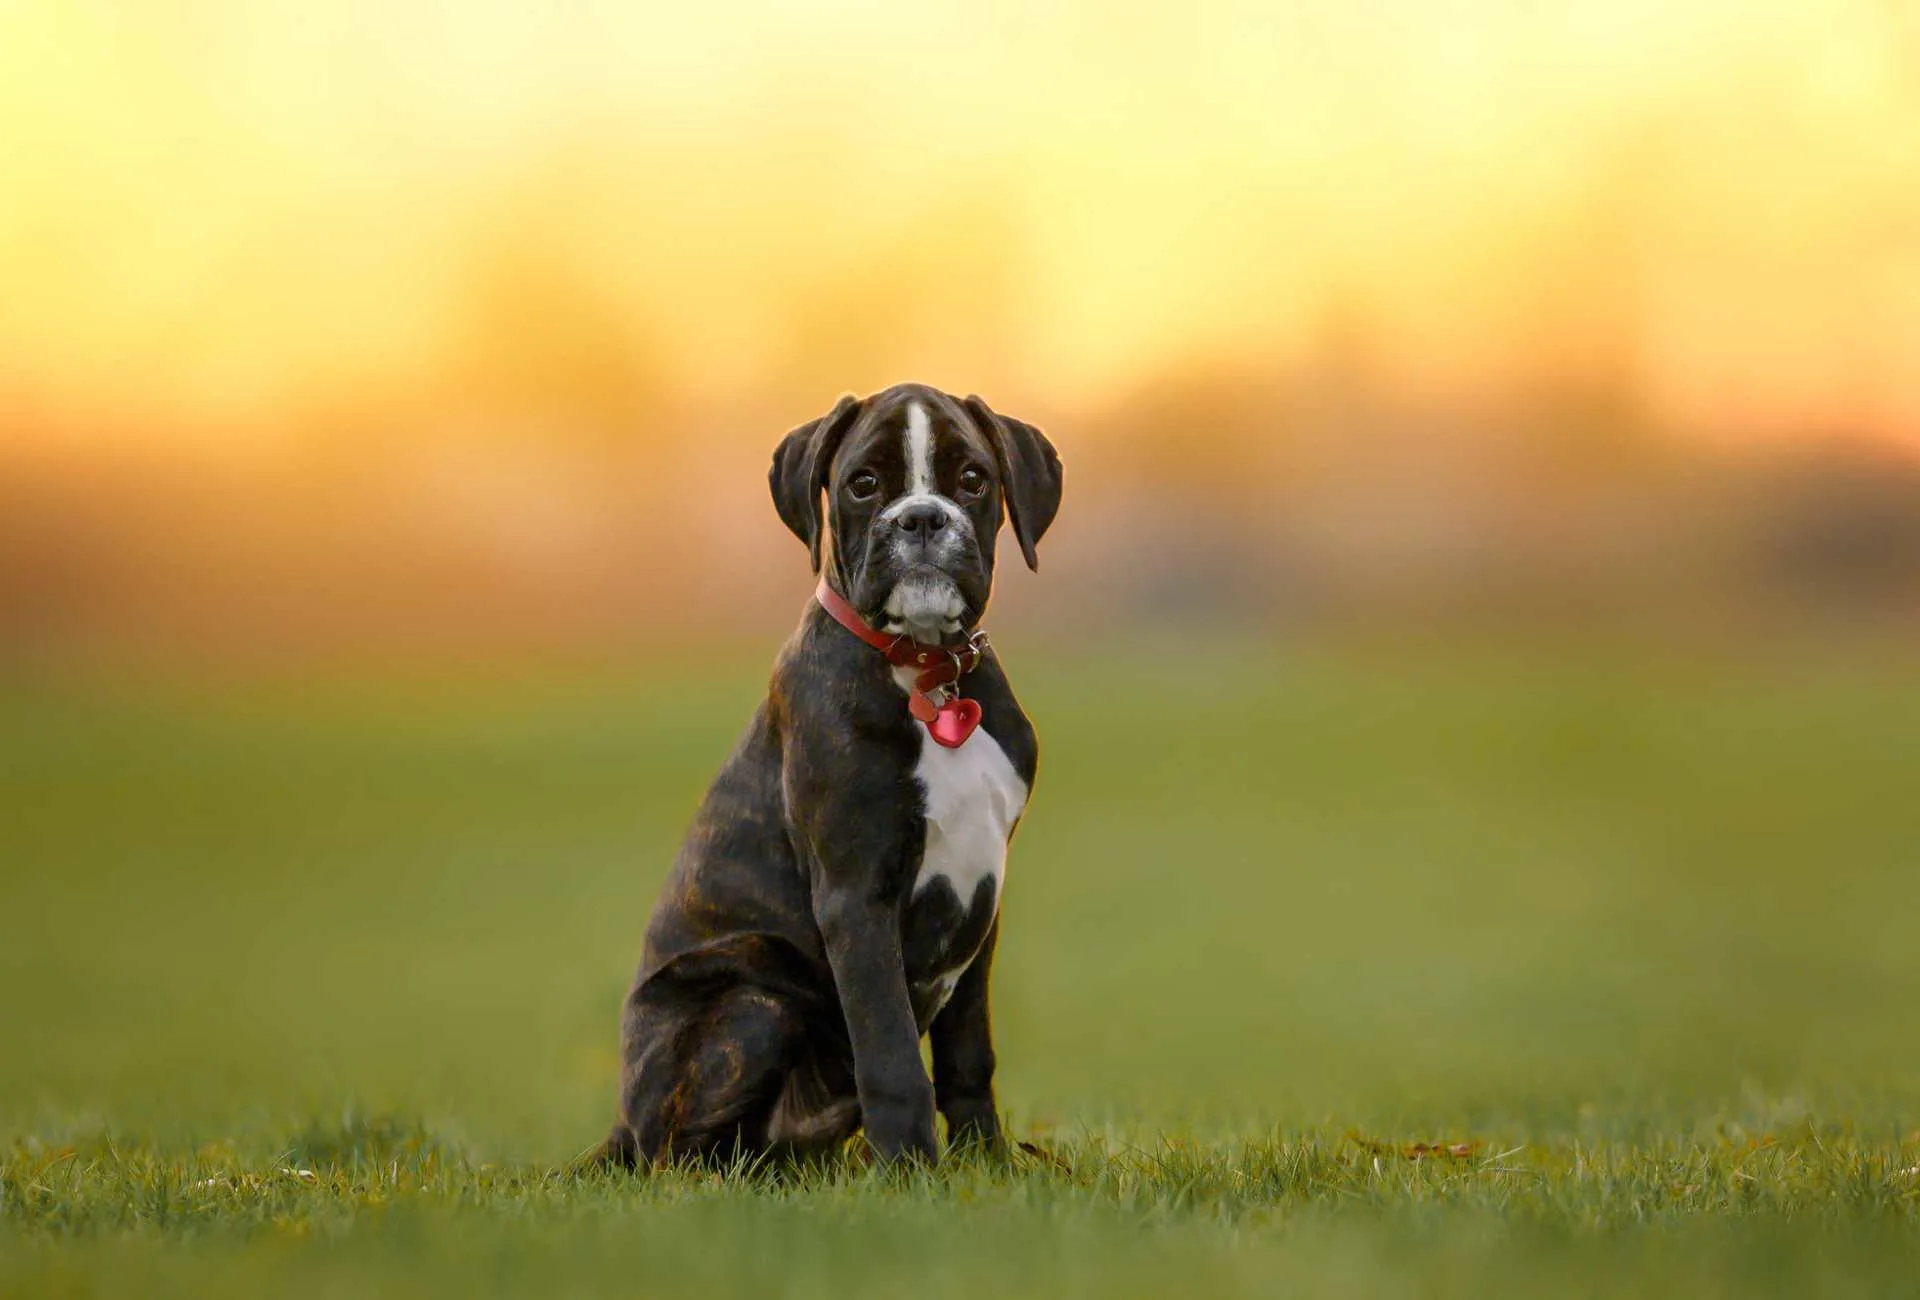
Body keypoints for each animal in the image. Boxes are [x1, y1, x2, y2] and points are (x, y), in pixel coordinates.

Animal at [595, 382, 1067, 1167]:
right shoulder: (855, 897)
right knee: (677, 1153)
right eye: (863, 484)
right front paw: (913, 1170)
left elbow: (968, 1052)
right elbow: (892, 1051)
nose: (922, 518)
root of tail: (621, 1128)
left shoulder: (983, 898)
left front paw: (985, 1163)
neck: (928, 672)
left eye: (973, 480)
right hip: (754, 997)